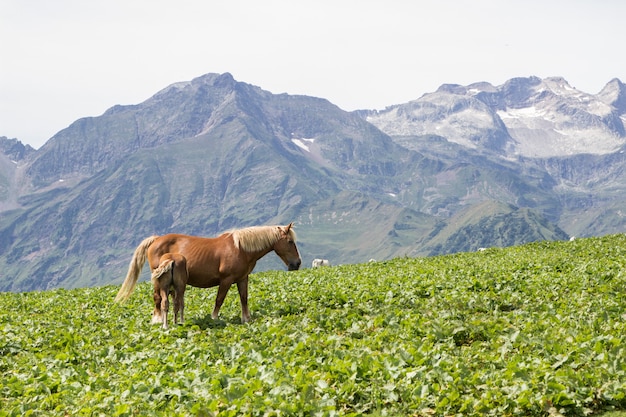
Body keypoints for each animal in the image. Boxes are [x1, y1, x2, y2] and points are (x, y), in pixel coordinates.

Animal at [118, 224, 304, 322]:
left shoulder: (242, 279)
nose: (297, 263)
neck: (241, 248)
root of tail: (155, 239)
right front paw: (214, 318)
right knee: (157, 299)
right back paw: (157, 321)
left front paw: (246, 319)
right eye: (289, 241)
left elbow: (244, 298)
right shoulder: (226, 280)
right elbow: (219, 300)